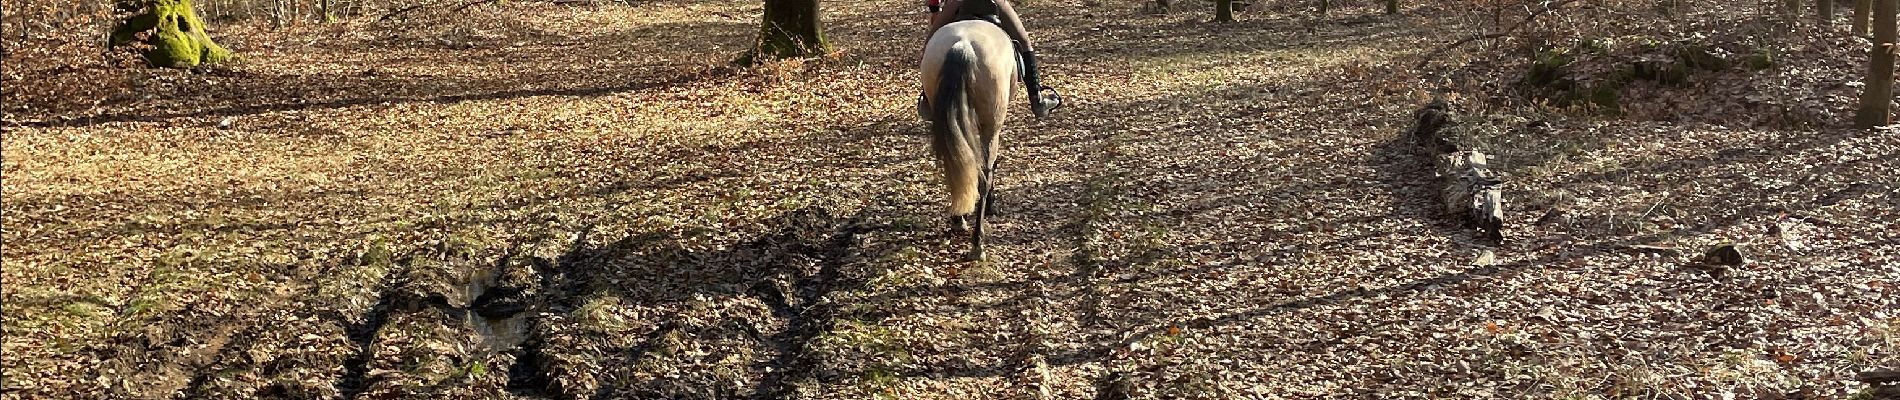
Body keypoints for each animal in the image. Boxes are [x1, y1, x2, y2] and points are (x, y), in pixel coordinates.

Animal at [923, 19, 1018, 261]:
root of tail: (963, 44)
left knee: (957, 162)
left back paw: (959, 219)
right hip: (991, 125)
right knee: (983, 174)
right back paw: (978, 243)